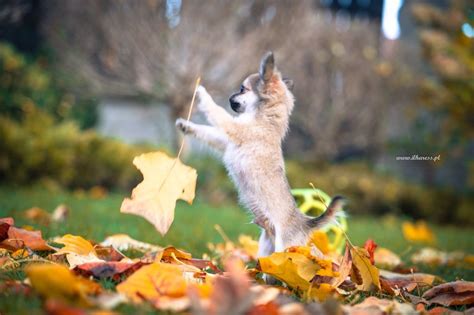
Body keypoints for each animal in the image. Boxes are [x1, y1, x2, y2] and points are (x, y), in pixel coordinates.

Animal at [176, 51, 342, 258]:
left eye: (242, 89)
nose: (230, 97)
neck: (266, 119)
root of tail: (305, 224)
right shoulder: (227, 141)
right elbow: (208, 132)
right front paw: (186, 125)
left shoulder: (233, 128)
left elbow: (216, 111)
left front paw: (201, 91)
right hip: (265, 248)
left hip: (284, 249)